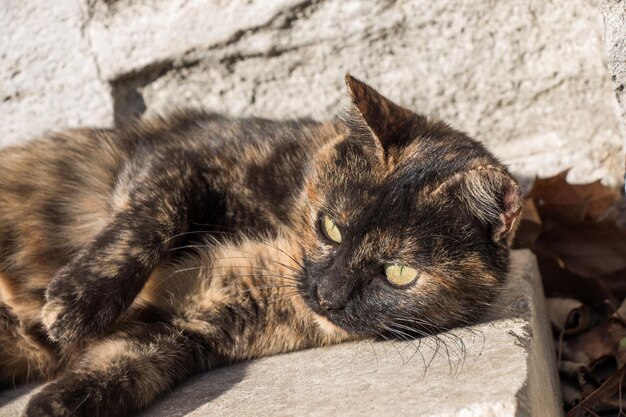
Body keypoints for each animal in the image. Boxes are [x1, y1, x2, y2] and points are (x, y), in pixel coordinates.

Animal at [0, 75, 520, 416]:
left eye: (398, 272)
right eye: (330, 228)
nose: (327, 295)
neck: (282, 241)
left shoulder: (183, 326)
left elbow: (122, 367)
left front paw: (50, 405)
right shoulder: (177, 156)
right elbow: (151, 217)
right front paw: (77, 305)